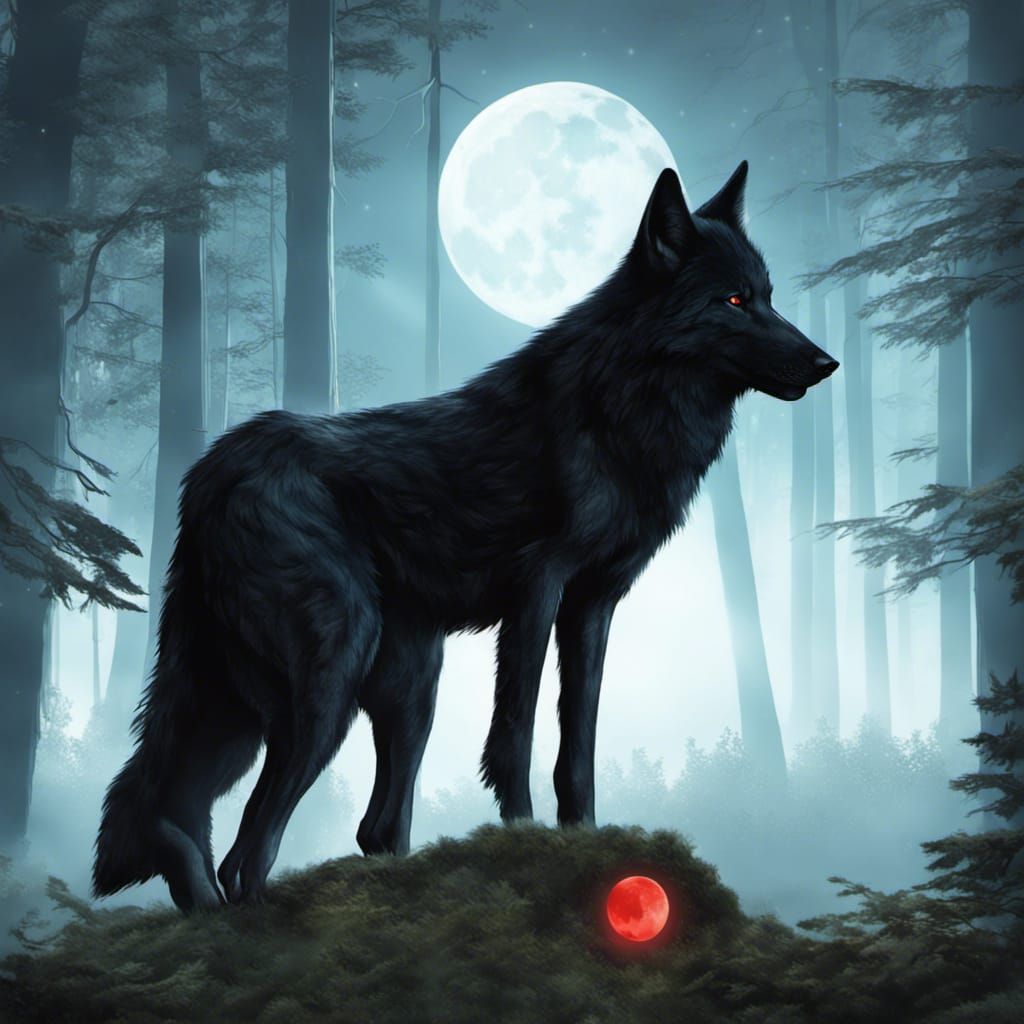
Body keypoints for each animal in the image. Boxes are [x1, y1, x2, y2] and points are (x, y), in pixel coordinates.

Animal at [93, 161, 837, 911]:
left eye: (769, 297)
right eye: (735, 300)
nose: (826, 363)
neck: (624, 405)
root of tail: (210, 469)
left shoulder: (593, 604)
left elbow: (579, 745)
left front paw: (584, 843)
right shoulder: (538, 590)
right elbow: (516, 733)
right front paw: (525, 840)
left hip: (382, 684)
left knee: (324, 826)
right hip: (330, 678)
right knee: (244, 851)